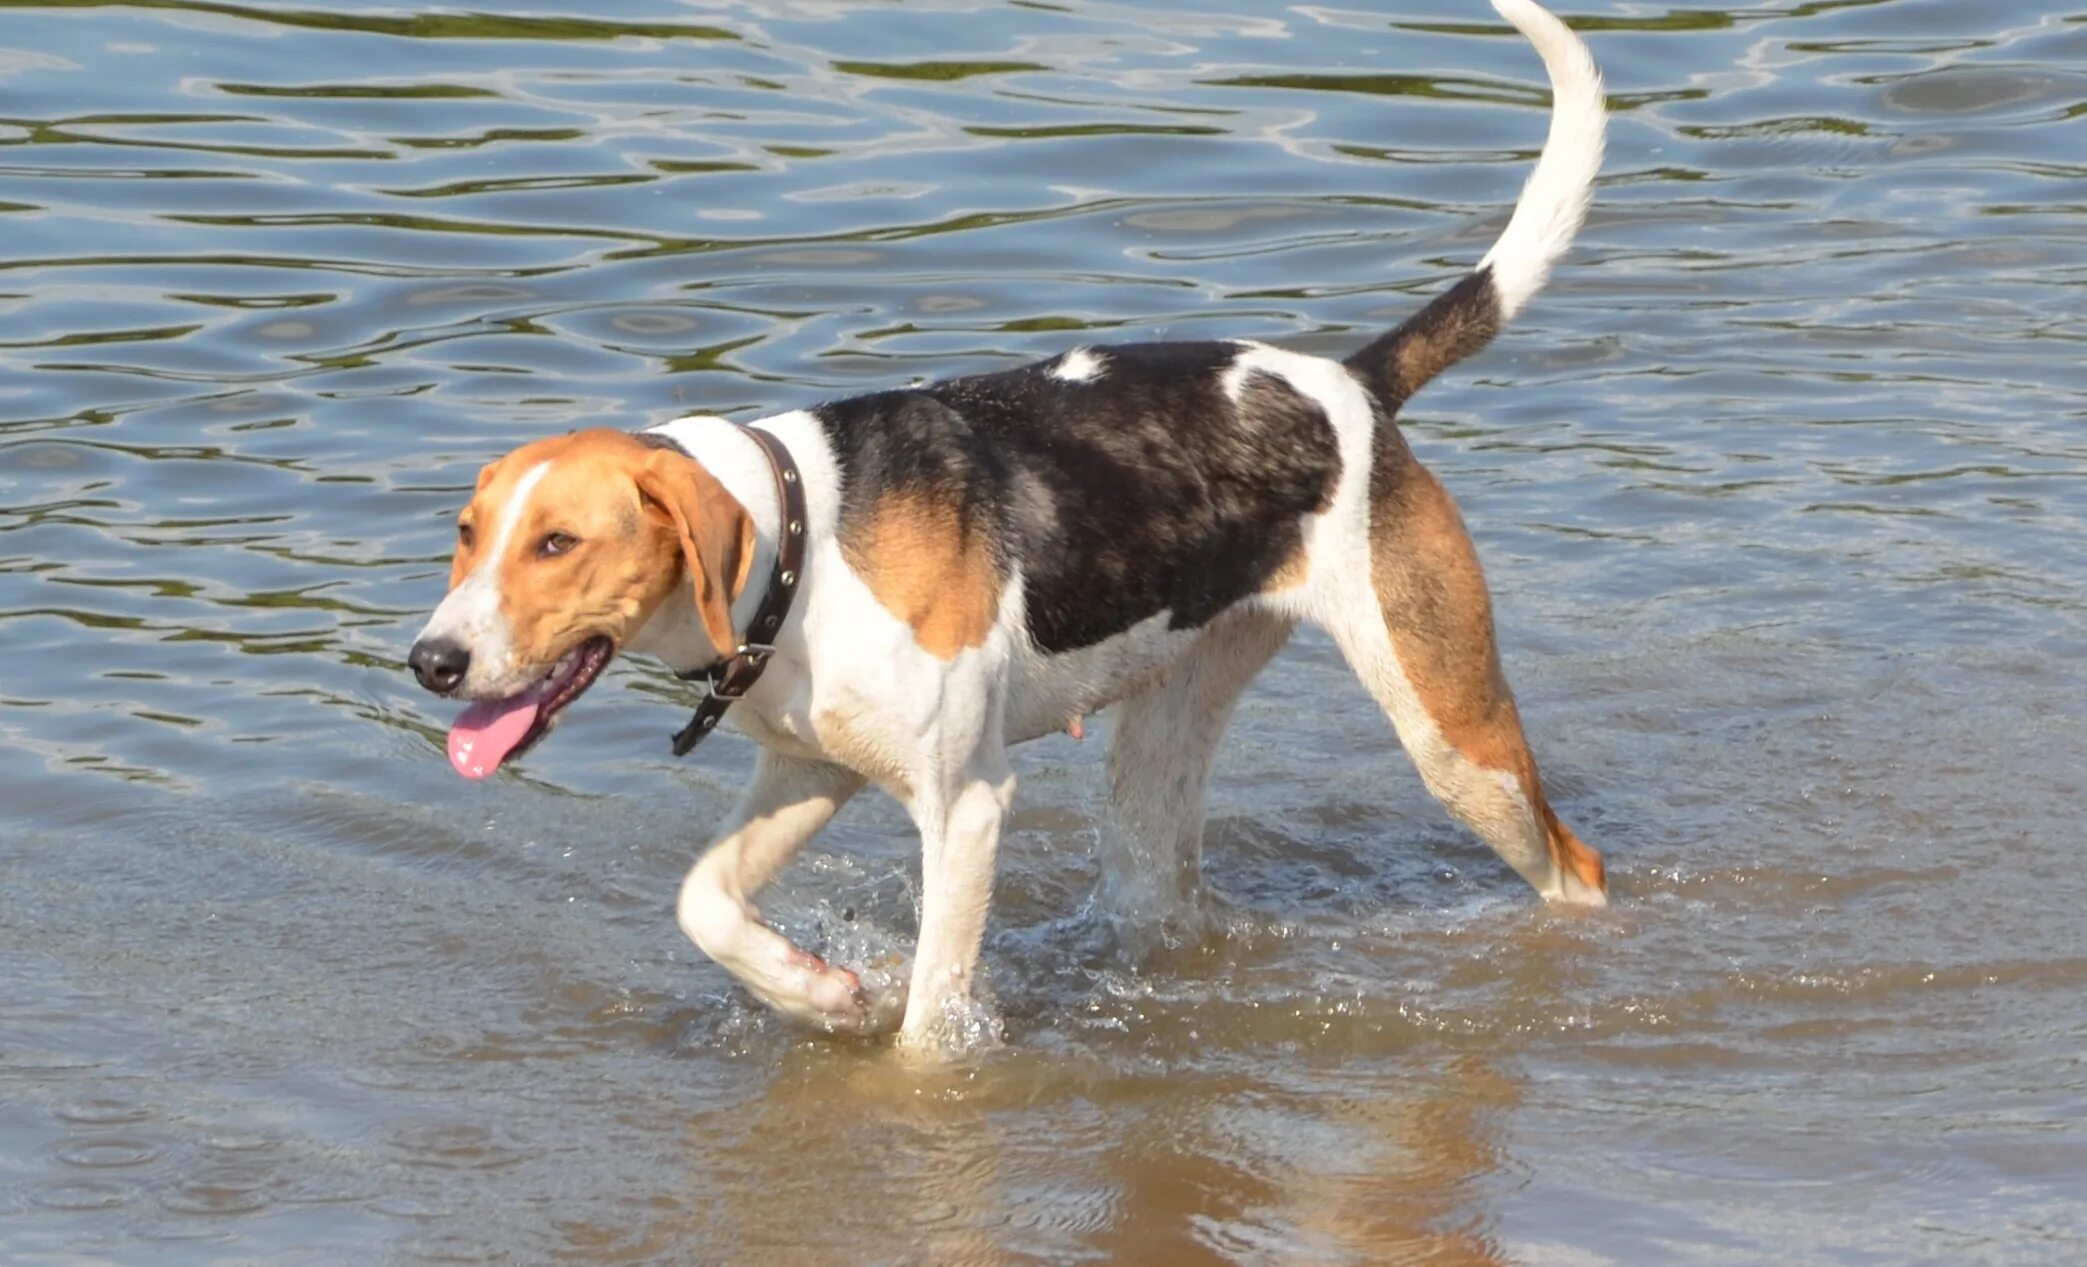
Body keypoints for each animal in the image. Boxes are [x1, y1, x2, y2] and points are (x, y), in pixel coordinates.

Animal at [406, 0, 1611, 1056]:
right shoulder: (809, 771)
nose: (429, 661)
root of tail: (1352, 384)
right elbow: (702, 903)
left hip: (1452, 735)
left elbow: (931, 1027)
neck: (802, 545)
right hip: (1160, 744)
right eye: (466, 532)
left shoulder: (966, 808)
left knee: (1574, 866)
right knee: (1166, 884)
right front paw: (819, 994)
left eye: (556, 544)